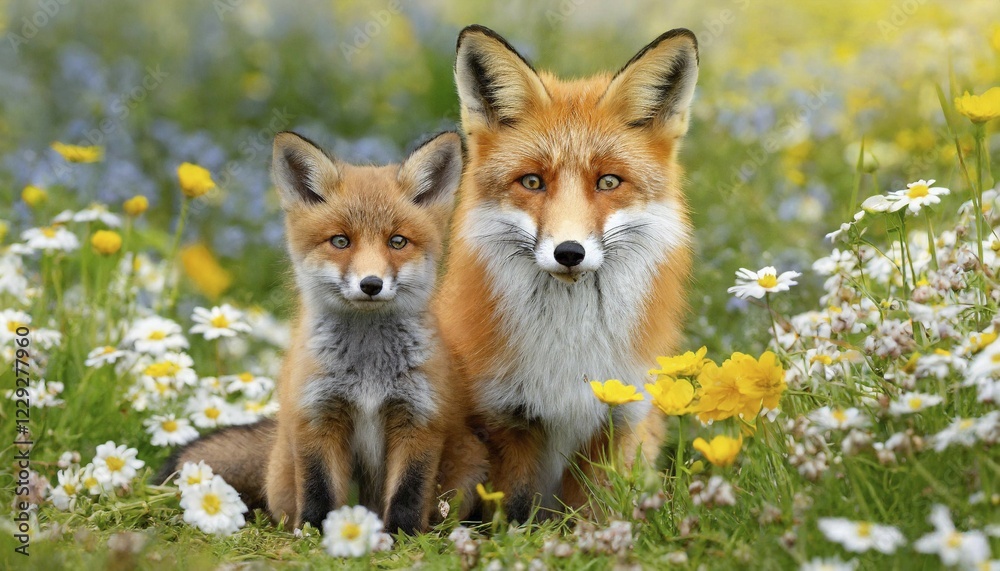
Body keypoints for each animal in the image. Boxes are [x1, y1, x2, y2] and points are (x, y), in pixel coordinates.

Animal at [160, 130, 487, 533]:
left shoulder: (419, 420)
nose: (371, 284)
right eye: (340, 241)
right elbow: (319, 488)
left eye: (397, 241)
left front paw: (402, 536)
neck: (368, 373)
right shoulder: (316, 417)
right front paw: (317, 534)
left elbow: (408, 492)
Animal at [433, 25, 700, 521]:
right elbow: (514, 513)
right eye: (532, 182)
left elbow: (595, 515)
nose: (569, 253)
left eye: (609, 182)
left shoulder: (617, 421)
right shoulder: (506, 420)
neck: (569, 353)